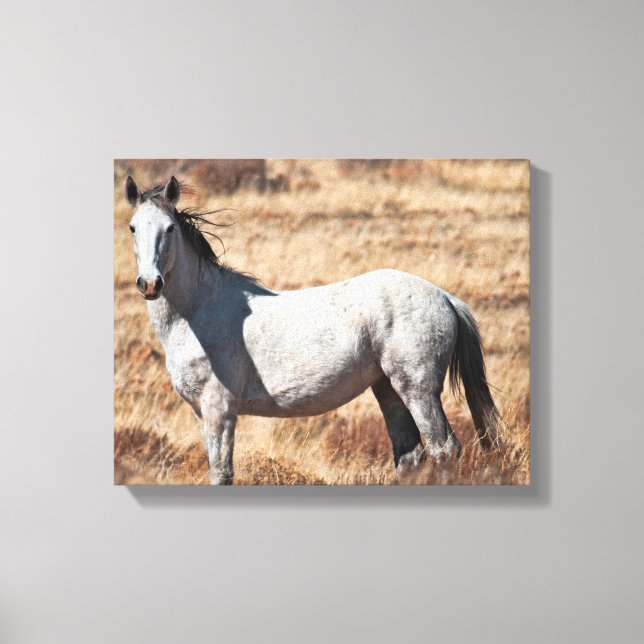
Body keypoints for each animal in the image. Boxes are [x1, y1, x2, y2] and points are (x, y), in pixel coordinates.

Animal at [124, 175, 500, 484]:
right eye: (132, 227)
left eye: (170, 228)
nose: (149, 284)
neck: (198, 312)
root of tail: (445, 297)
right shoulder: (201, 412)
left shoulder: (220, 409)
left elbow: (222, 473)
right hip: (389, 390)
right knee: (410, 458)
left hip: (418, 390)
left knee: (443, 450)